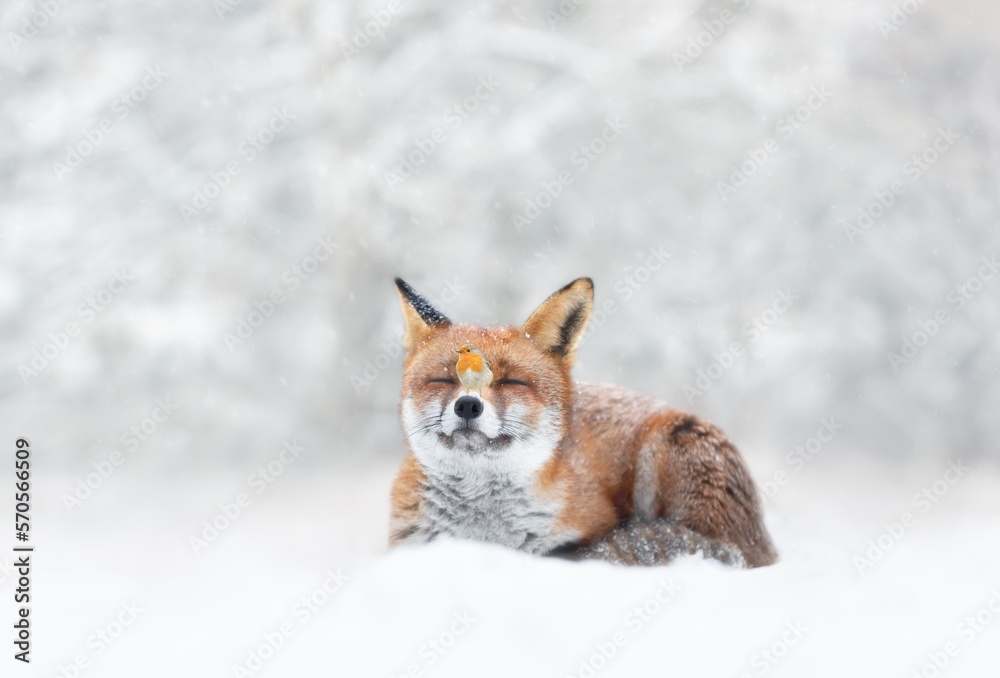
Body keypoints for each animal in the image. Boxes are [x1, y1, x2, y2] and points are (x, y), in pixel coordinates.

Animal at [389, 277, 778, 568]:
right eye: (443, 380)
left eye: (511, 382)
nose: (468, 406)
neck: (485, 533)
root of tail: (761, 542)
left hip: (671, 449)